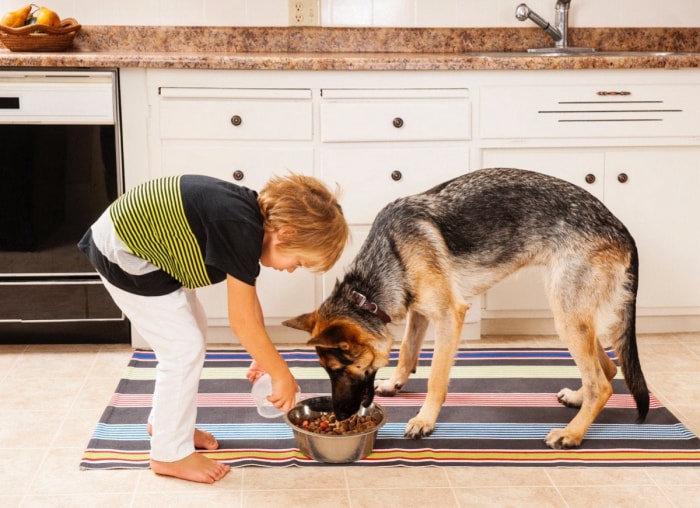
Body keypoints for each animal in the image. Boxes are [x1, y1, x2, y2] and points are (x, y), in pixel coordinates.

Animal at [284, 169, 652, 450]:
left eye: (339, 370)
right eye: (327, 371)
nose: (340, 416)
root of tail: (621, 228)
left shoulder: (449, 316)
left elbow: (436, 377)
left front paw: (425, 420)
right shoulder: (419, 311)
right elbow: (406, 351)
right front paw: (395, 384)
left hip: (566, 314)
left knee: (601, 384)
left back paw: (572, 433)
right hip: (571, 315)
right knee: (608, 368)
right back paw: (576, 400)